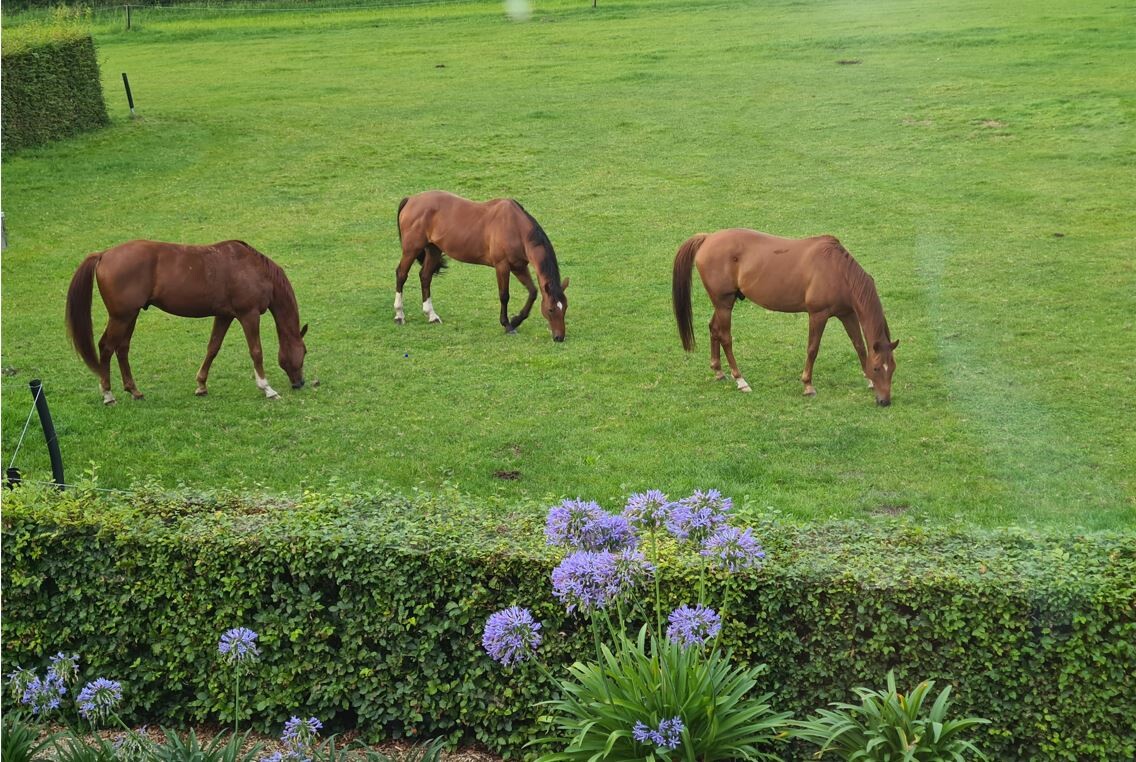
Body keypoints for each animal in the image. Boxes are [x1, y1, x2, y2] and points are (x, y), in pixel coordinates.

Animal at [65, 239, 308, 404]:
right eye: (304, 352)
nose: (300, 383)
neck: (254, 269)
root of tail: (104, 254)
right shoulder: (248, 314)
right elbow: (256, 351)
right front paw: (267, 388)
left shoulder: (224, 315)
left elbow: (213, 348)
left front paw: (201, 385)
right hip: (121, 317)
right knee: (106, 348)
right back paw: (108, 394)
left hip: (130, 316)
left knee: (122, 349)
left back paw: (134, 391)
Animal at [394, 190, 570, 341]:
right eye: (551, 309)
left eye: (565, 307)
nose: (559, 337)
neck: (516, 228)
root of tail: (411, 199)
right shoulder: (502, 266)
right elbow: (504, 295)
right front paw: (507, 325)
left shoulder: (519, 267)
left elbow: (532, 292)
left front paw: (516, 320)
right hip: (411, 249)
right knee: (401, 275)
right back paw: (399, 315)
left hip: (434, 250)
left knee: (425, 276)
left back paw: (432, 316)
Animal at [672, 228, 899, 406]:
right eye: (877, 368)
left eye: (892, 368)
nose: (885, 401)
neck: (837, 270)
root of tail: (707, 238)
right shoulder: (818, 315)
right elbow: (812, 349)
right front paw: (808, 386)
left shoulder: (847, 314)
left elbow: (859, 346)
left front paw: (868, 381)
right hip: (724, 304)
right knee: (725, 337)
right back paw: (741, 380)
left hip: (724, 303)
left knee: (714, 329)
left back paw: (718, 371)